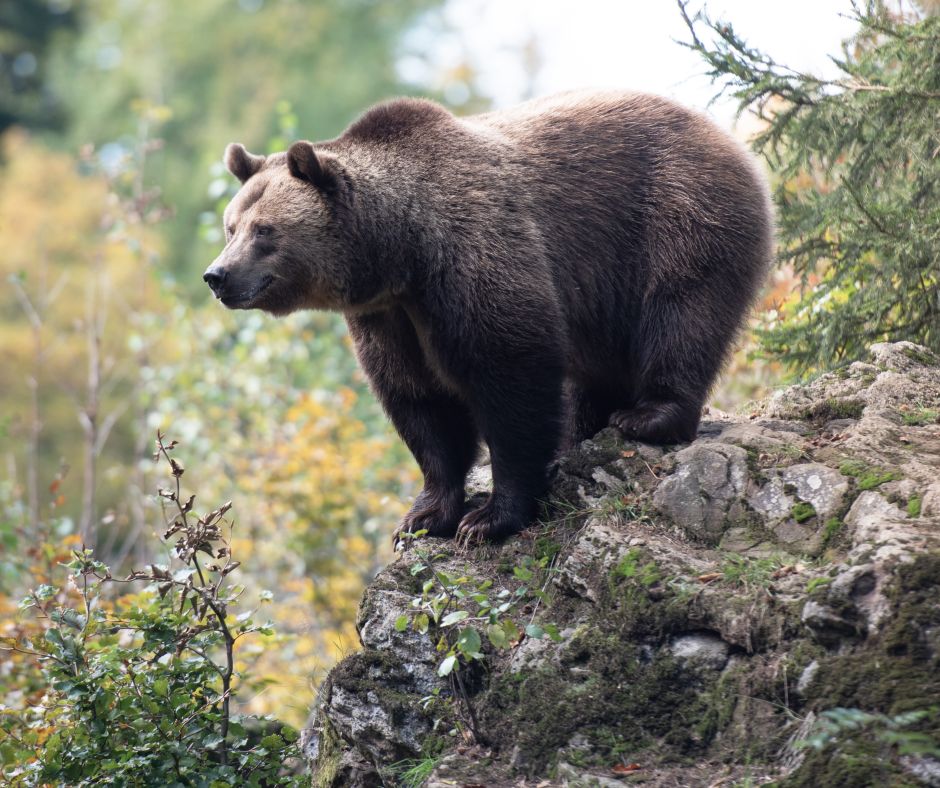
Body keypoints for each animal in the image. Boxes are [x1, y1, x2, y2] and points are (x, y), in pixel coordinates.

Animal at [206, 91, 772, 540]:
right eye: (231, 226)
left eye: (265, 231)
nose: (218, 276)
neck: (402, 252)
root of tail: (726, 134)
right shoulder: (389, 317)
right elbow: (420, 402)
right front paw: (424, 515)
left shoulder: (473, 255)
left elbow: (509, 375)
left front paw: (489, 518)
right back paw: (582, 428)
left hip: (676, 214)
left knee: (681, 314)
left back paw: (648, 416)